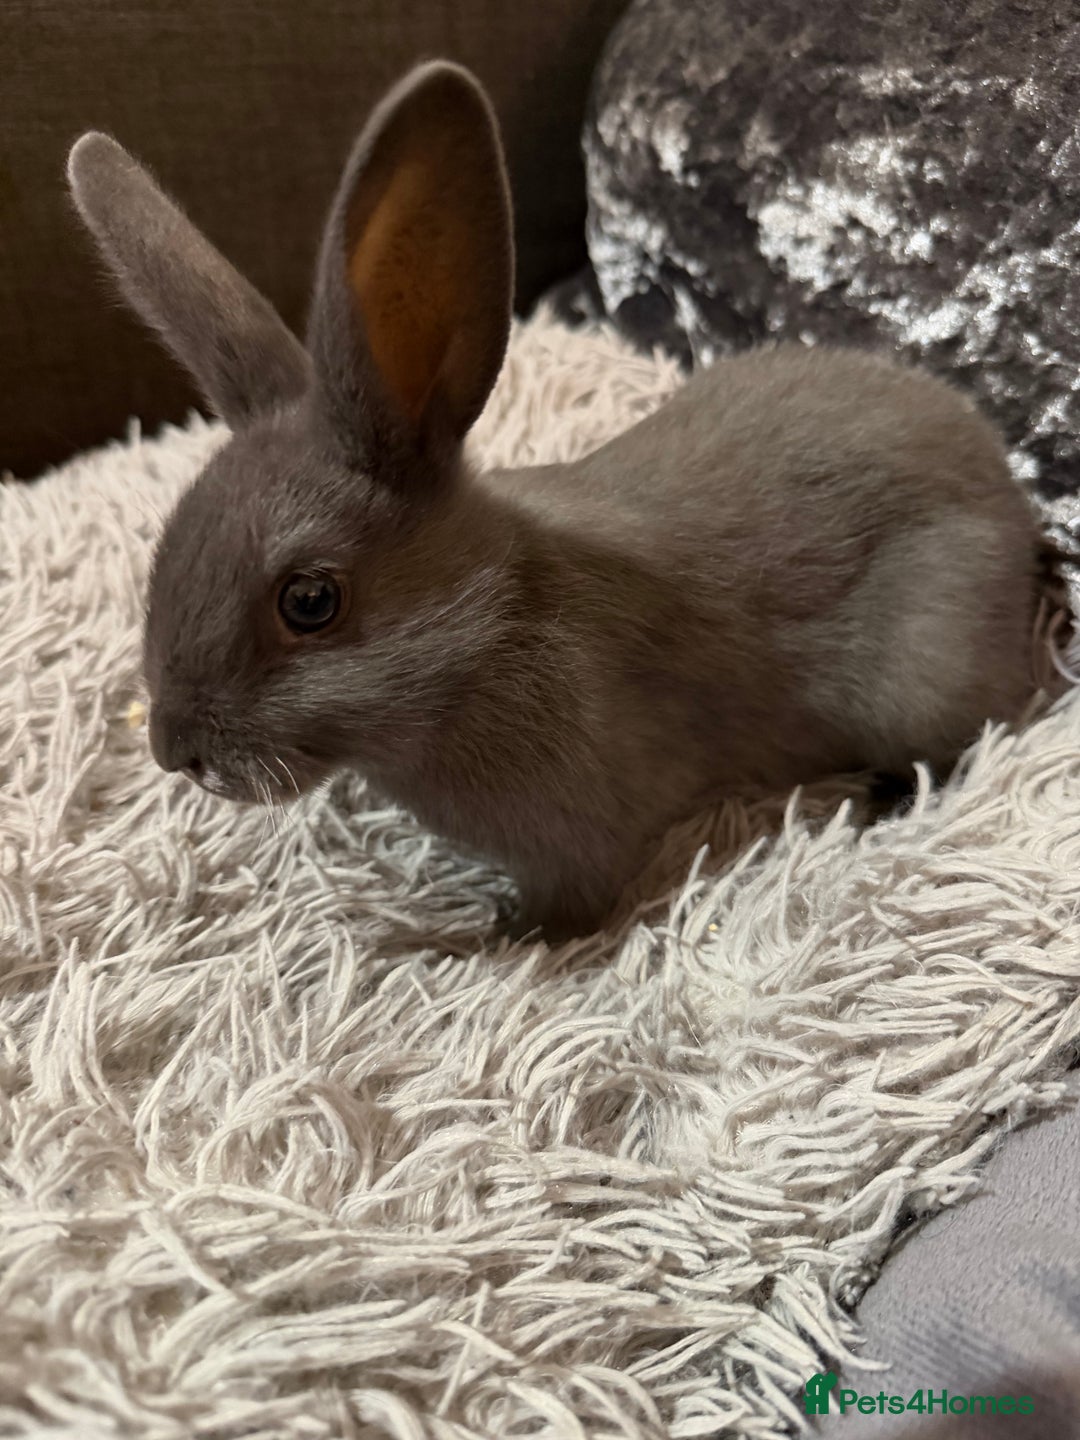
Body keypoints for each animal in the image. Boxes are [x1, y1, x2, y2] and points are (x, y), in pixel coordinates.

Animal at [66, 61, 1051, 941]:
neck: (489, 624)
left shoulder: (577, 848)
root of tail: (1008, 500)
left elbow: (560, 917)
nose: (173, 751)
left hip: (926, 668)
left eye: (310, 602)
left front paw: (451, 944)